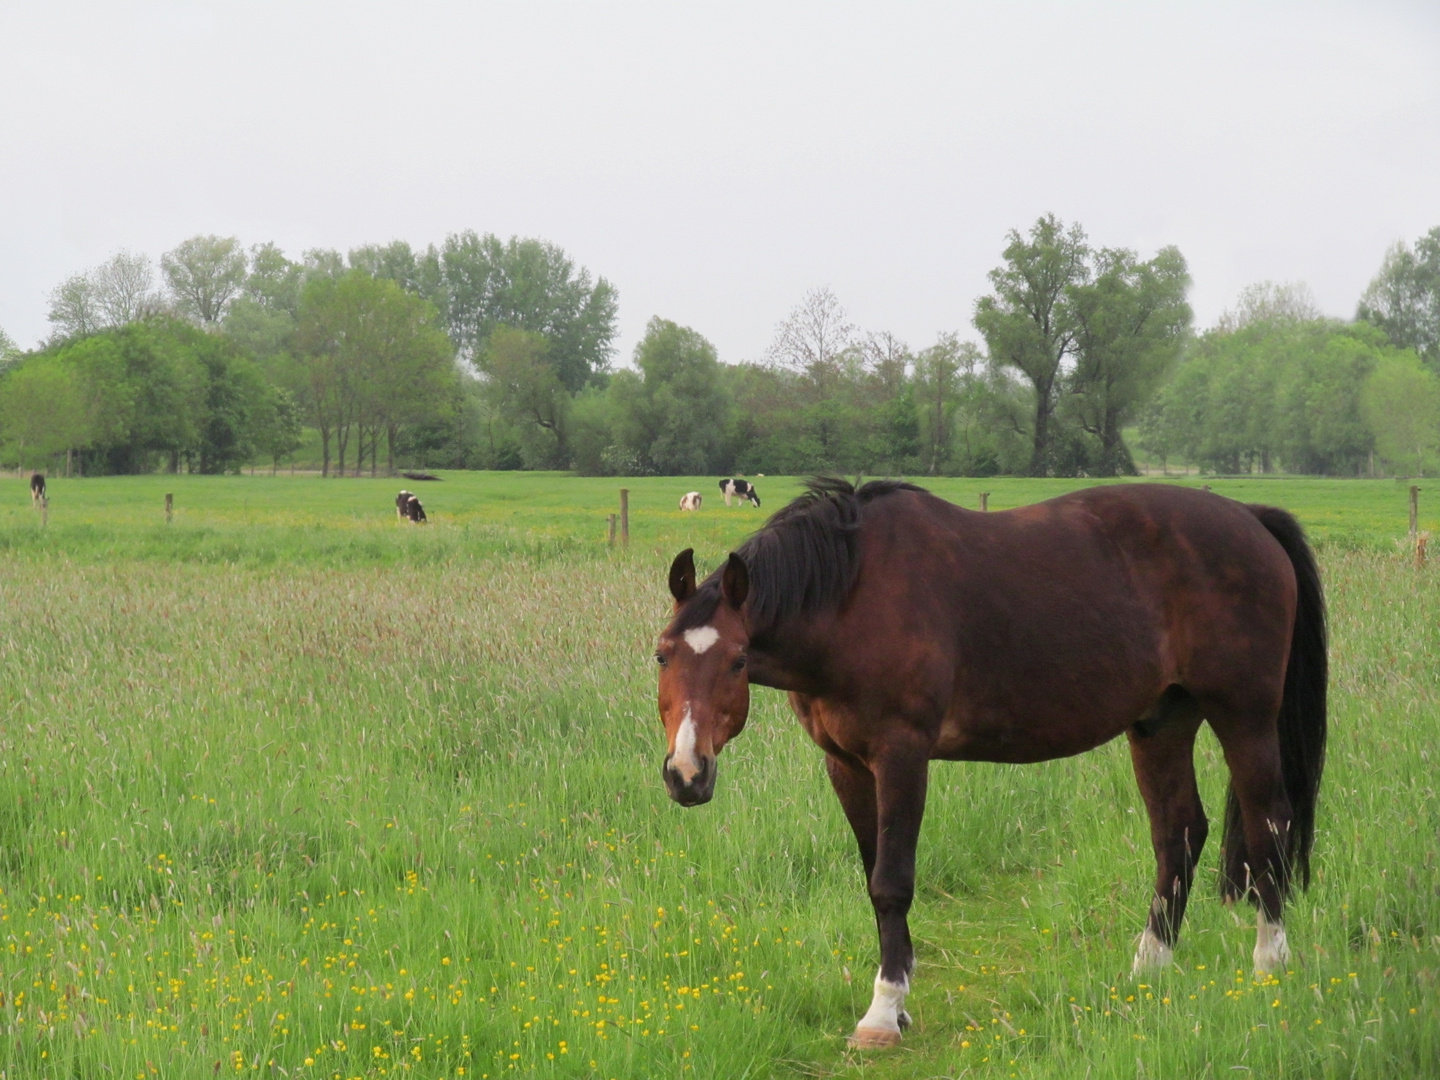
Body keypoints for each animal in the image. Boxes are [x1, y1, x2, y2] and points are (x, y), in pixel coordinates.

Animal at [656, 480, 1324, 1048]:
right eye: (662, 655)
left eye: (738, 660)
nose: (687, 774)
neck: (852, 595)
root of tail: (1250, 519)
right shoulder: (845, 764)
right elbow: (873, 878)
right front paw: (898, 1000)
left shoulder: (902, 755)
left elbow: (892, 882)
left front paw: (883, 1012)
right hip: (1162, 721)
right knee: (1178, 833)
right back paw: (1149, 967)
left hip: (1243, 715)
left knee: (1269, 824)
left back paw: (1269, 965)